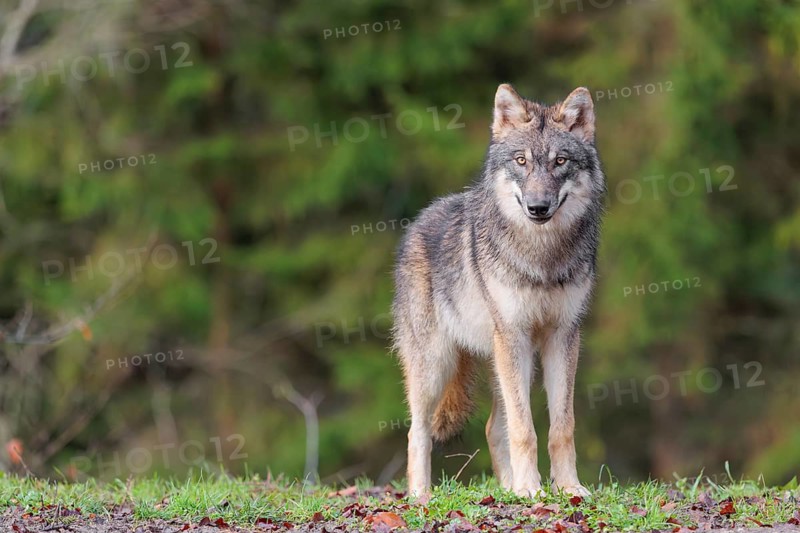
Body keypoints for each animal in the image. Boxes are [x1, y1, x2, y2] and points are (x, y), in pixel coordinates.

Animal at [392, 84, 605, 499]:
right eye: (521, 161)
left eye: (560, 161)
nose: (538, 207)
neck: (542, 256)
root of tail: (419, 221)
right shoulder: (515, 336)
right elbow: (525, 429)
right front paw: (533, 491)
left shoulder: (563, 337)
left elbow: (561, 427)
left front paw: (568, 488)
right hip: (438, 364)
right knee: (417, 432)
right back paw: (422, 496)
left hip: (502, 361)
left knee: (493, 427)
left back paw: (507, 488)